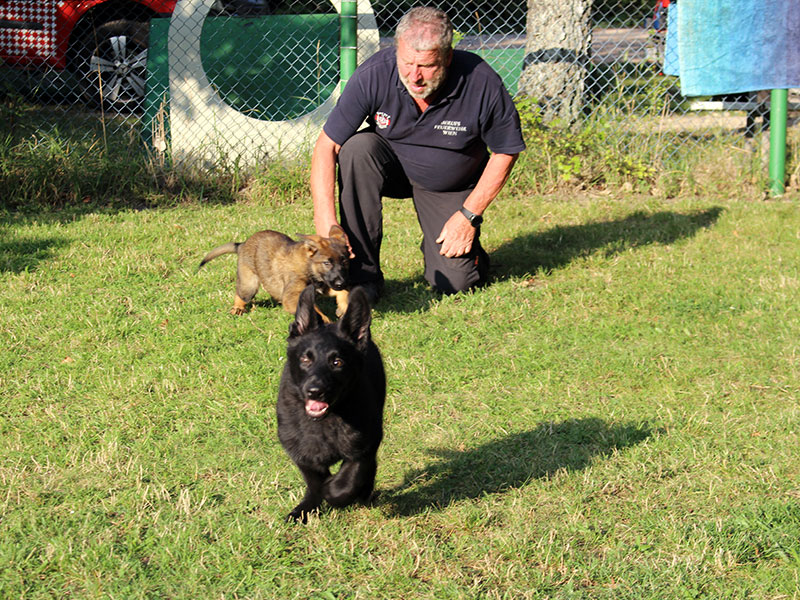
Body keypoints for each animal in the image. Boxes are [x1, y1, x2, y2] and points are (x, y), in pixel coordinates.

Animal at [198, 225, 348, 322]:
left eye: (344, 261)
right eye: (327, 263)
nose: (342, 283)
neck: (309, 265)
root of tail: (242, 244)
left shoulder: (325, 285)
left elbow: (343, 292)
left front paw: (343, 306)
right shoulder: (292, 298)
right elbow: (315, 312)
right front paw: (326, 321)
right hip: (250, 285)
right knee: (241, 294)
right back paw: (238, 308)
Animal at [276, 284, 386, 524]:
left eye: (337, 362)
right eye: (305, 359)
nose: (315, 391)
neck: (327, 420)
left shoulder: (366, 443)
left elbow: (351, 476)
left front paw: (335, 491)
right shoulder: (298, 448)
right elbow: (314, 479)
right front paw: (310, 503)